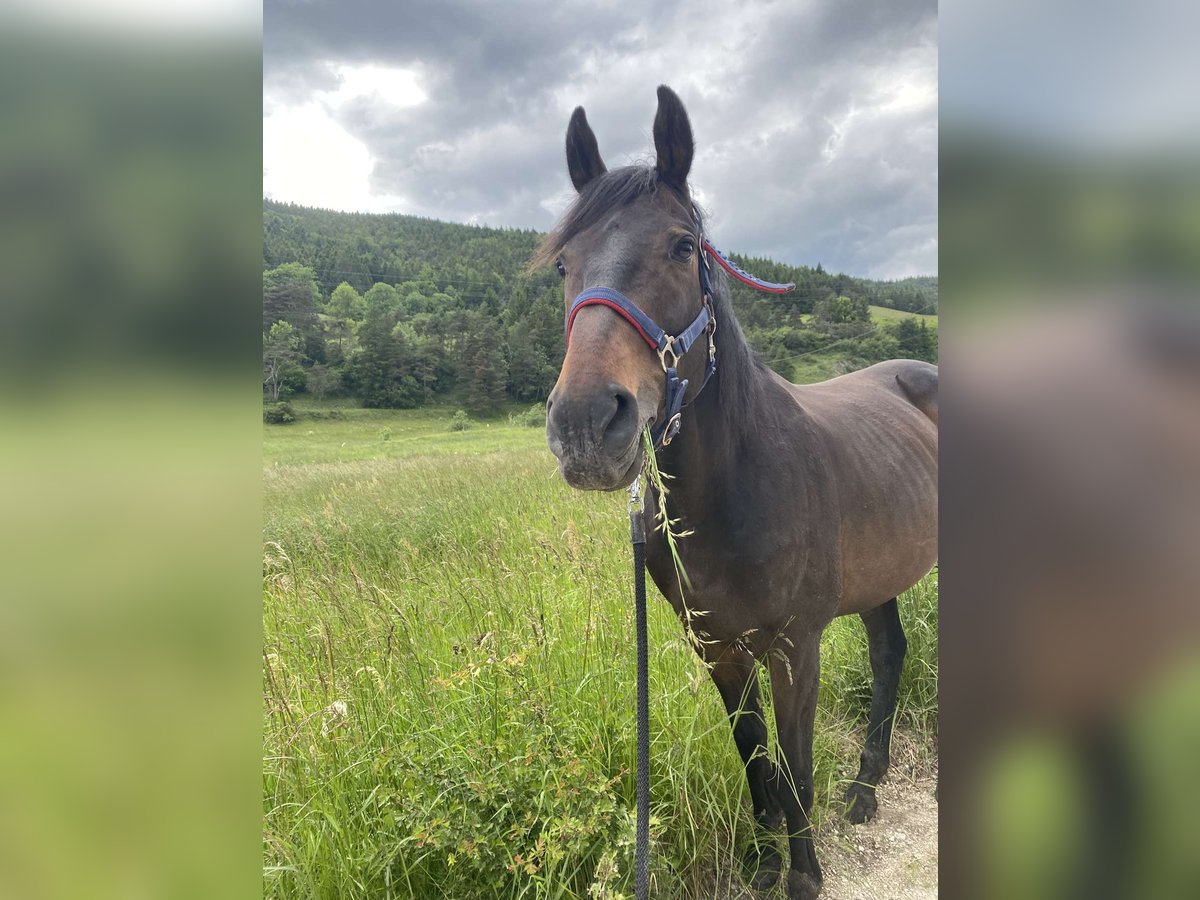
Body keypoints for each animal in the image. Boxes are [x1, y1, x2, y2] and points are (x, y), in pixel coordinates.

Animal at [535, 86, 936, 900]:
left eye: (682, 246)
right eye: (563, 262)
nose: (586, 425)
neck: (736, 490)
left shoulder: (795, 646)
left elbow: (797, 766)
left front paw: (804, 874)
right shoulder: (717, 647)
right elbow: (757, 761)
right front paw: (761, 863)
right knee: (890, 652)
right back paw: (866, 788)